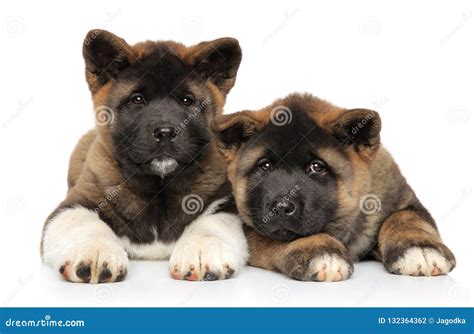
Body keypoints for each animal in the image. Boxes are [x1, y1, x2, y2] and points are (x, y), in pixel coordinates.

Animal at [40, 30, 248, 284]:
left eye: (187, 100)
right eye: (137, 100)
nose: (166, 133)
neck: (158, 188)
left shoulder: (224, 202)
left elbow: (213, 223)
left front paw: (201, 250)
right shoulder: (76, 201)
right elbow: (81, 222)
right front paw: (95, 251)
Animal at [212, 93, 456, 282]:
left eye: (316, 167)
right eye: (265, 166)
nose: (281, 207)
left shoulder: (405, 200)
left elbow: (405, 218)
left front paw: (420, 248)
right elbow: (293, 234)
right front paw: (318, 249)